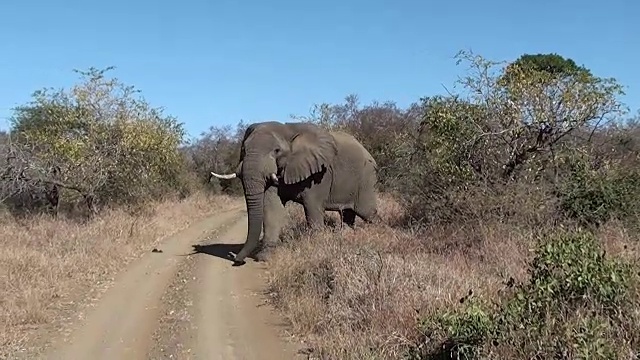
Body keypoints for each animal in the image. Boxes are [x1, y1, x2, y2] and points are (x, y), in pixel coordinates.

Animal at [210, 121, 380, 264]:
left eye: (277, 150)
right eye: (244, 149)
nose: (236, 258)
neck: (288, 131)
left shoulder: (319, 172)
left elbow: (312, 209)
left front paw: (316, 248)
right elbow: (272, 208)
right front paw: (265, 257)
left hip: (366, 178)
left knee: (368, 212)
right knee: (348, 214)